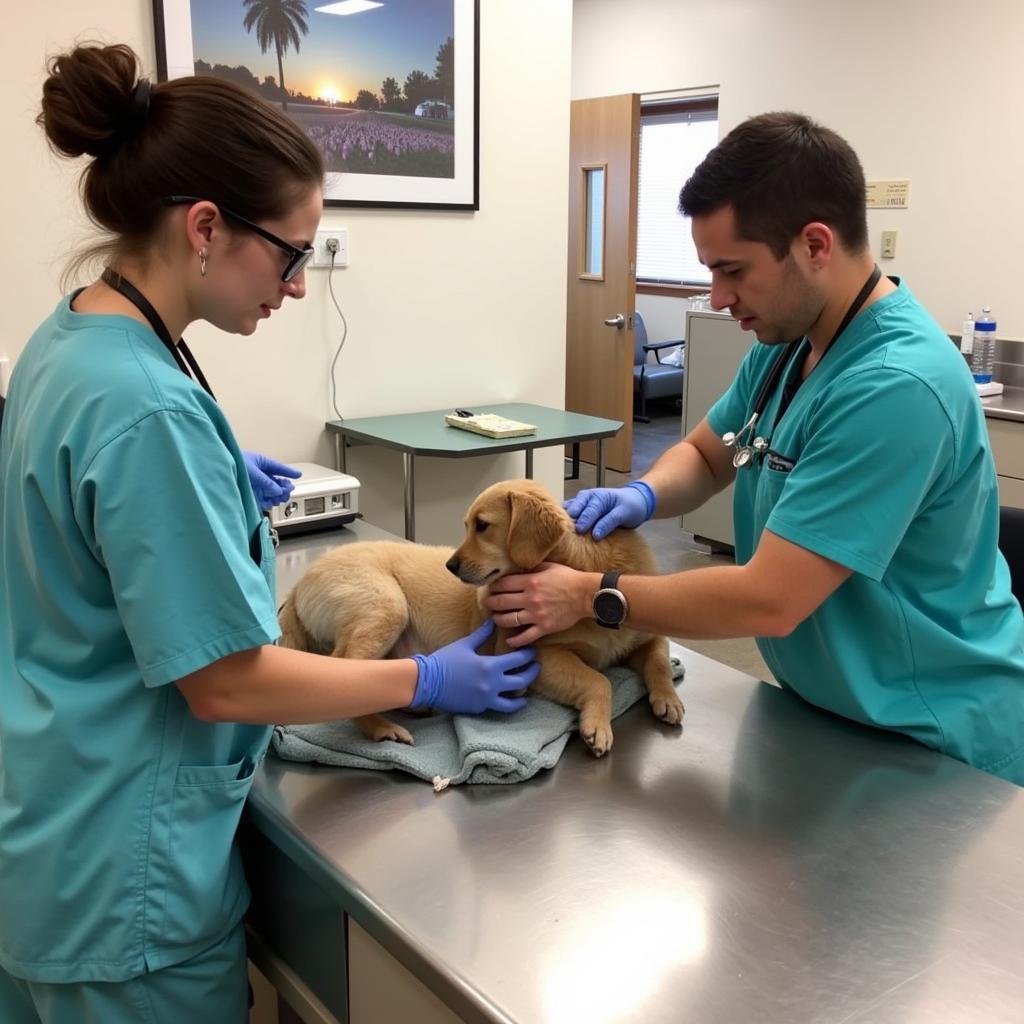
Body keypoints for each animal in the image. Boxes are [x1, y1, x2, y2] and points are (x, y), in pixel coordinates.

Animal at [450, 475, 684, 757]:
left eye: (482, 525)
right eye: (467, 526)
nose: (450, 566)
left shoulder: (652, 636)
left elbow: (659, 663)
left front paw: (668, 698)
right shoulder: (544, 654)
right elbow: (599, 680)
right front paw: (598, 726)